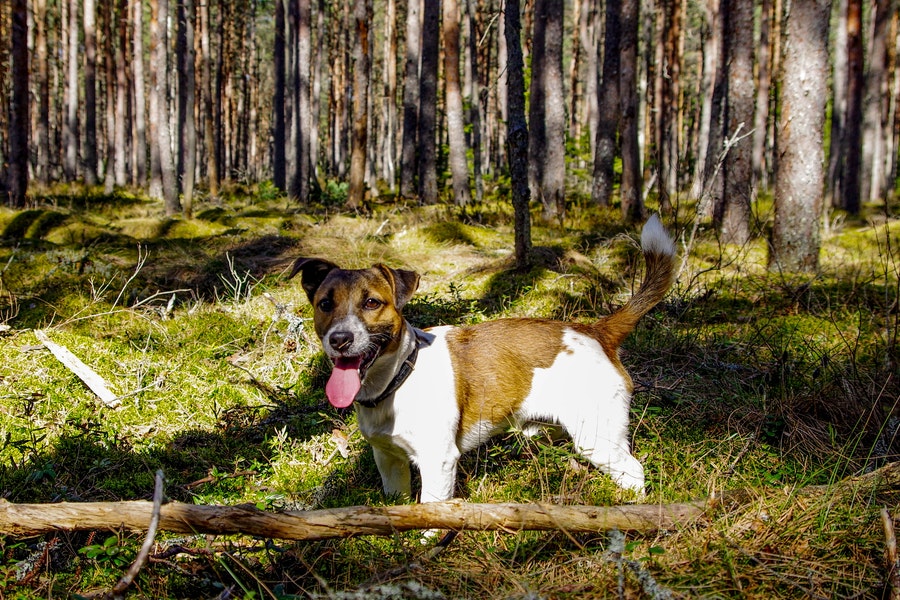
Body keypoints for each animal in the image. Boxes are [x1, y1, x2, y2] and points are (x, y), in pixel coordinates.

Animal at [292, 216, 680, 502]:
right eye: (325, 304)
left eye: (372, 302)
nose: (339, 339)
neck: (399, 377)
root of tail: (597, 330)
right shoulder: (389, 459)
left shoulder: (438, 460)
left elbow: (431, 508)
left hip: (597, 438)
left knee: (634, 472)